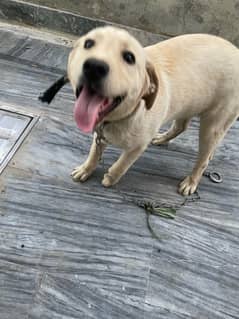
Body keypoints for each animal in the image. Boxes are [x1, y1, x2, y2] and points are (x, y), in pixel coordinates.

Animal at [41, 25, 239, 195]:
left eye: (129, 57)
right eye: (88, 44)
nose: (94, 67)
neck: (125, 115)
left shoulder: (137, 147)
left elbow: (122, 164)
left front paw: (110, 178)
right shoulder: (99, 132)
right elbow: (93, 154)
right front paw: (85, 169)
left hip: (212, 126)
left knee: (203, 159)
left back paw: (191, 181)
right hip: (188, 103)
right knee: (181, 127)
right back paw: (163, 138)